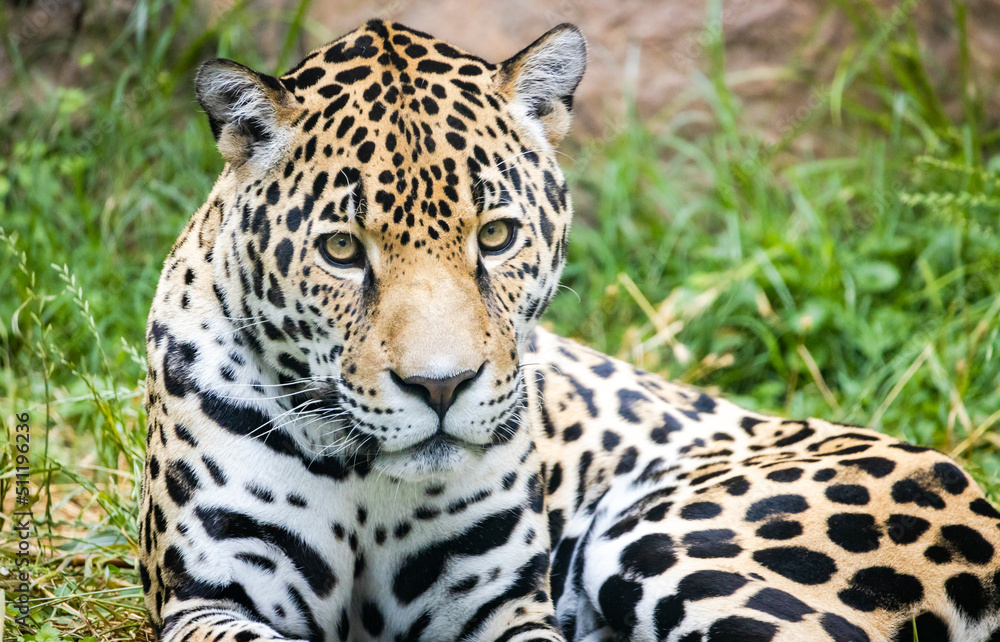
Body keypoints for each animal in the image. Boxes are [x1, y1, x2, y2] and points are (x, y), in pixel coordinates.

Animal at [138, 19, 1000, 642]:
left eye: (495, 237)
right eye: (343, 251)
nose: (441, 387)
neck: (367, 479)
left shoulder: (496, 606)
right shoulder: (209, 599)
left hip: (670, 532)